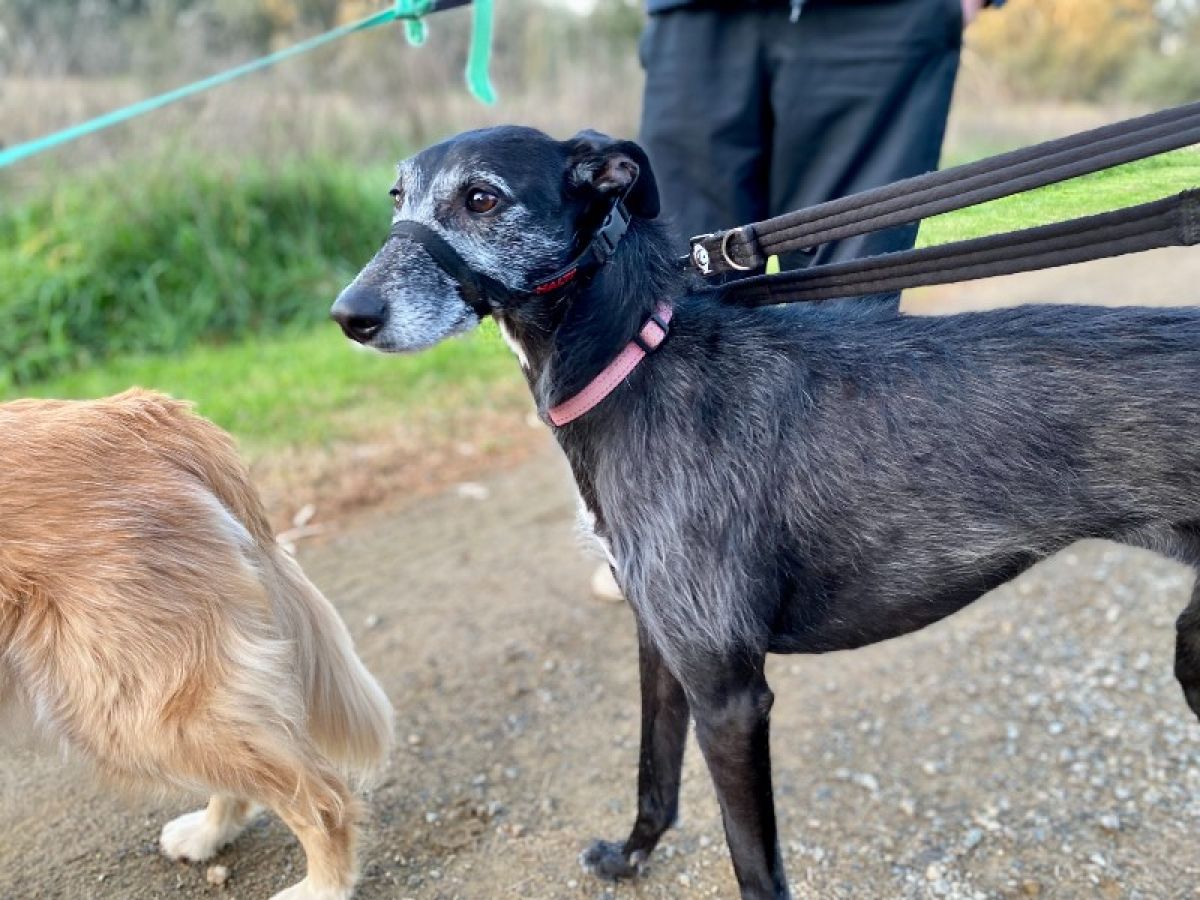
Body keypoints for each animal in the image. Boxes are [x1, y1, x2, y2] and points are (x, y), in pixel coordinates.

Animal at [328, 127, 1200, 900]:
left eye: (481, 198)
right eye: (398, 197)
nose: (350, 316)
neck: (635, 357)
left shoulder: (730, 694)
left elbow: (753, 863)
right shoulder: (662, 645)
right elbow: (653, 777)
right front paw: (630, 856)